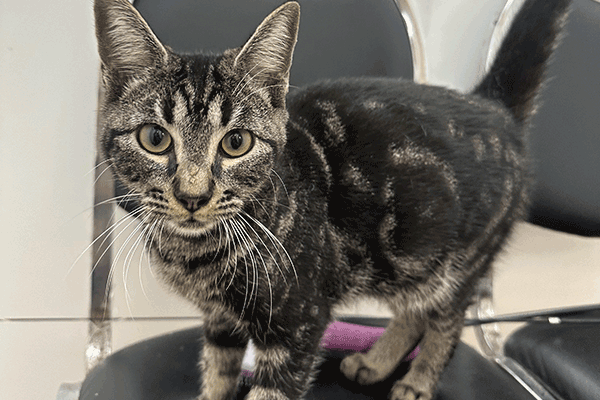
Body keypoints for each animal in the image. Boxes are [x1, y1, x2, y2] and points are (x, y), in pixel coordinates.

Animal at [92, 0, 568, 398]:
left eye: (236, 143)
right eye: (154, 139)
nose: (193, 195)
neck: (196, 254)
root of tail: (492, 106)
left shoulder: (298, 326)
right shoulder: (221, 321)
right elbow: (217, 373)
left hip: (458, 264)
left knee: (446, 322)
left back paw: (417, 380)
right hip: (406, 260)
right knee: (413, 312)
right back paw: (377, 363)